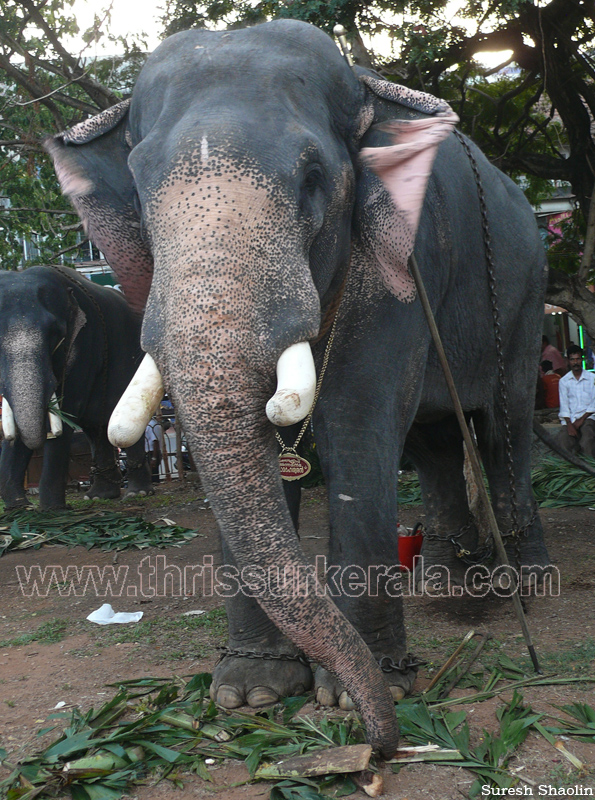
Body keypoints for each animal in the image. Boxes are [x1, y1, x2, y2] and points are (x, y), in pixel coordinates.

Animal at [45, 18, 548, 756]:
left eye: (313, 178)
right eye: (139, 188)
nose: (380, 744)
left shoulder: (397, 265)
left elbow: (356, 430)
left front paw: (357, 692)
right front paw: (249, 693)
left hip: (522, 295)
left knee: (502, 426)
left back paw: (526, 581)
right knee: (432, 441)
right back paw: (445, 581)